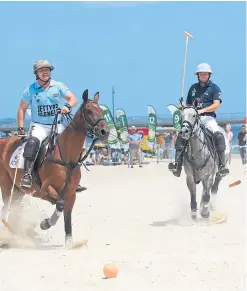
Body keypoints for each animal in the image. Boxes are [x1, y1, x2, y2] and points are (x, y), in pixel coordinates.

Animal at [0, 89, 109, 249]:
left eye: (101, 110)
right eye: (88, 110)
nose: (104, 131)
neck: (67, 157)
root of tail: (5, 141)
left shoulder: (71, 193)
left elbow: (66, 214)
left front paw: (69, 242)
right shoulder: (45, 189)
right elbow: (60, 205)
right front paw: (45, 223)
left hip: (19, 190)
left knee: (13, 210)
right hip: (7, 185)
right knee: (6, 208)